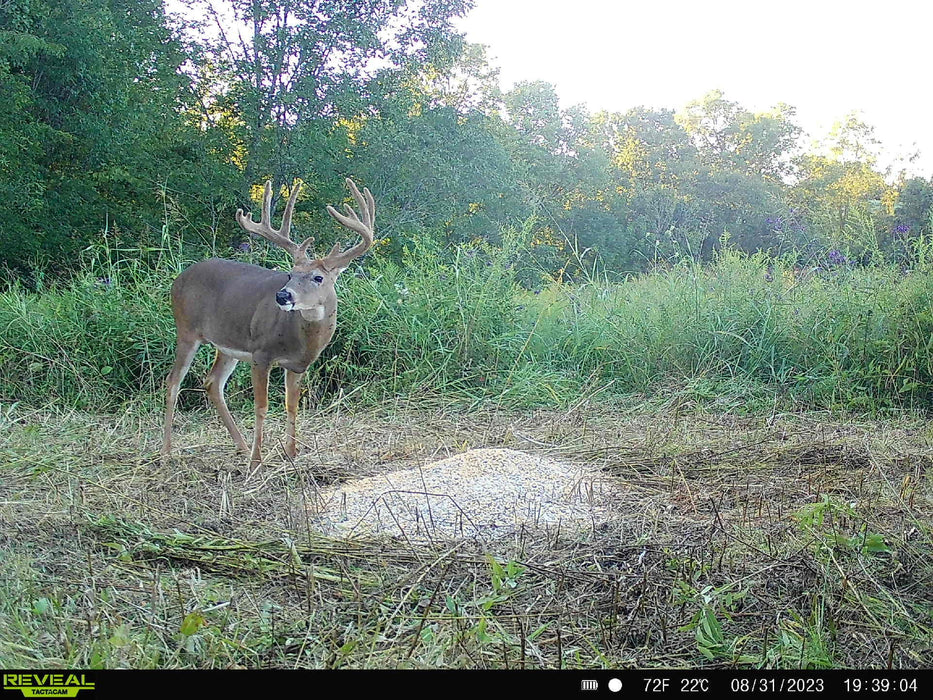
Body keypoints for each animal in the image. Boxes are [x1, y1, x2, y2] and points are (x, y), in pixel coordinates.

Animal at [162, 178, 375, 468]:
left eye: (318, 277)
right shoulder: (261, 354)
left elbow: (291, 404)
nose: (282, 295)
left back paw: (240, 446)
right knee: (173, 382)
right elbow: (261, 406)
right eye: (290, 274)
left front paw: (292, 453)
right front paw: (257, 461)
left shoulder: (297, 365)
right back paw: (166, 452)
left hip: (227, 344)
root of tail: (178, 279)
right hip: (186, 330)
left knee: (212, 382)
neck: (300, 341)